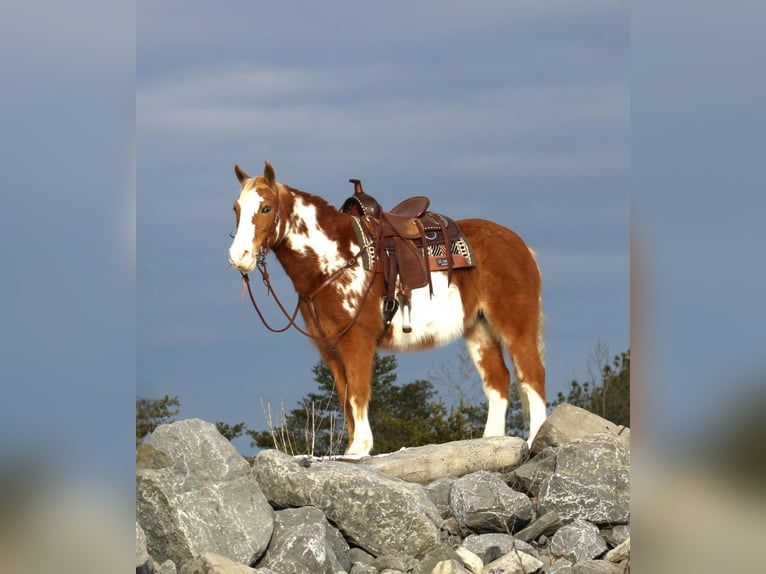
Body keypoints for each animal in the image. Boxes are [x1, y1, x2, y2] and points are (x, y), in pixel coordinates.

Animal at [228, 160, 544, 456]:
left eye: (266, 208)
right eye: (236, 208)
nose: (238, 256)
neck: (335, 257)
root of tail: (519, 245)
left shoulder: (357, 339)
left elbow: (357, 392)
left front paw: (359, 448)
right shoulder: (329, 346)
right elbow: (344, 395)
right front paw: (351, 448)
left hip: (515, 325)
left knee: (531, 374)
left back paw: (534, 440)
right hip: (479, 328)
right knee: (497, 380)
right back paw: (491, 442)